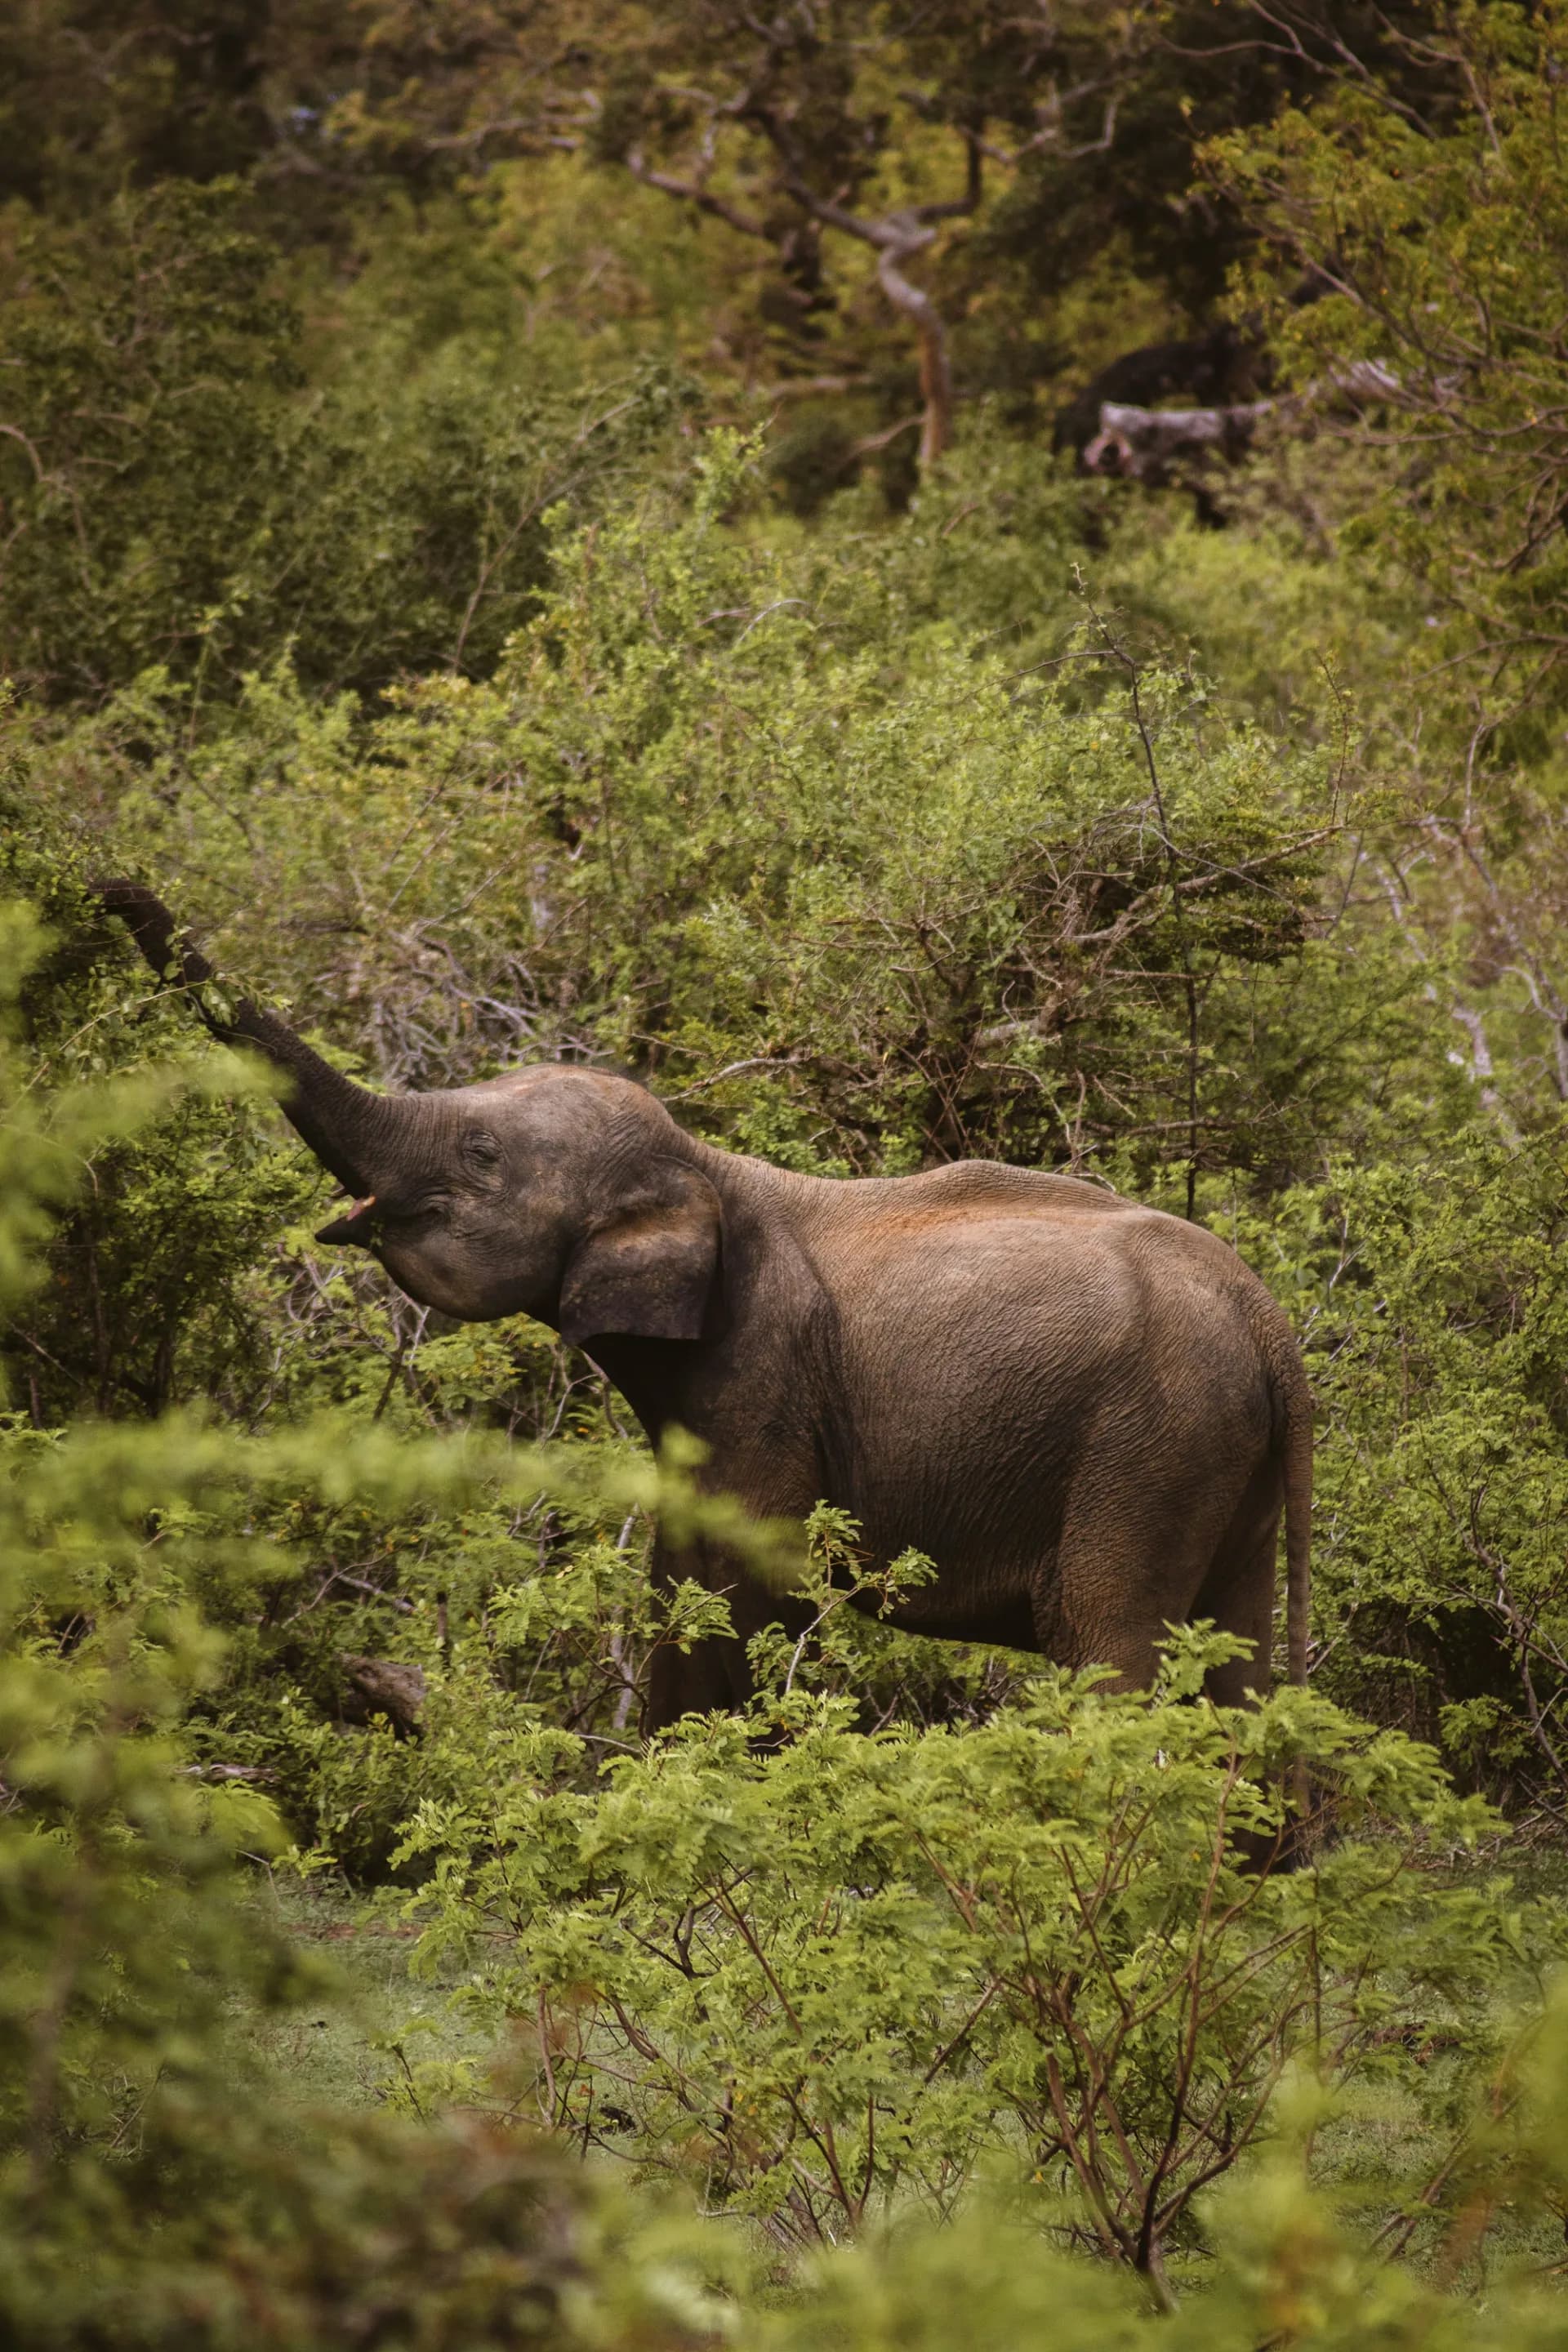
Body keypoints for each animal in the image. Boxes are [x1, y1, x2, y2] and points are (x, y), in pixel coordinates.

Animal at [98, 880, 1311, 1730]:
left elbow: (729, 1579)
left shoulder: (762, 1371)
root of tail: (1270, 1326)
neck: (708, 1163)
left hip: (1146, 1445)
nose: (107, 885)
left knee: (1115, 1645)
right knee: (1238, 1666)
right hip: (1220, 1455)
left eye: (481, 1153)